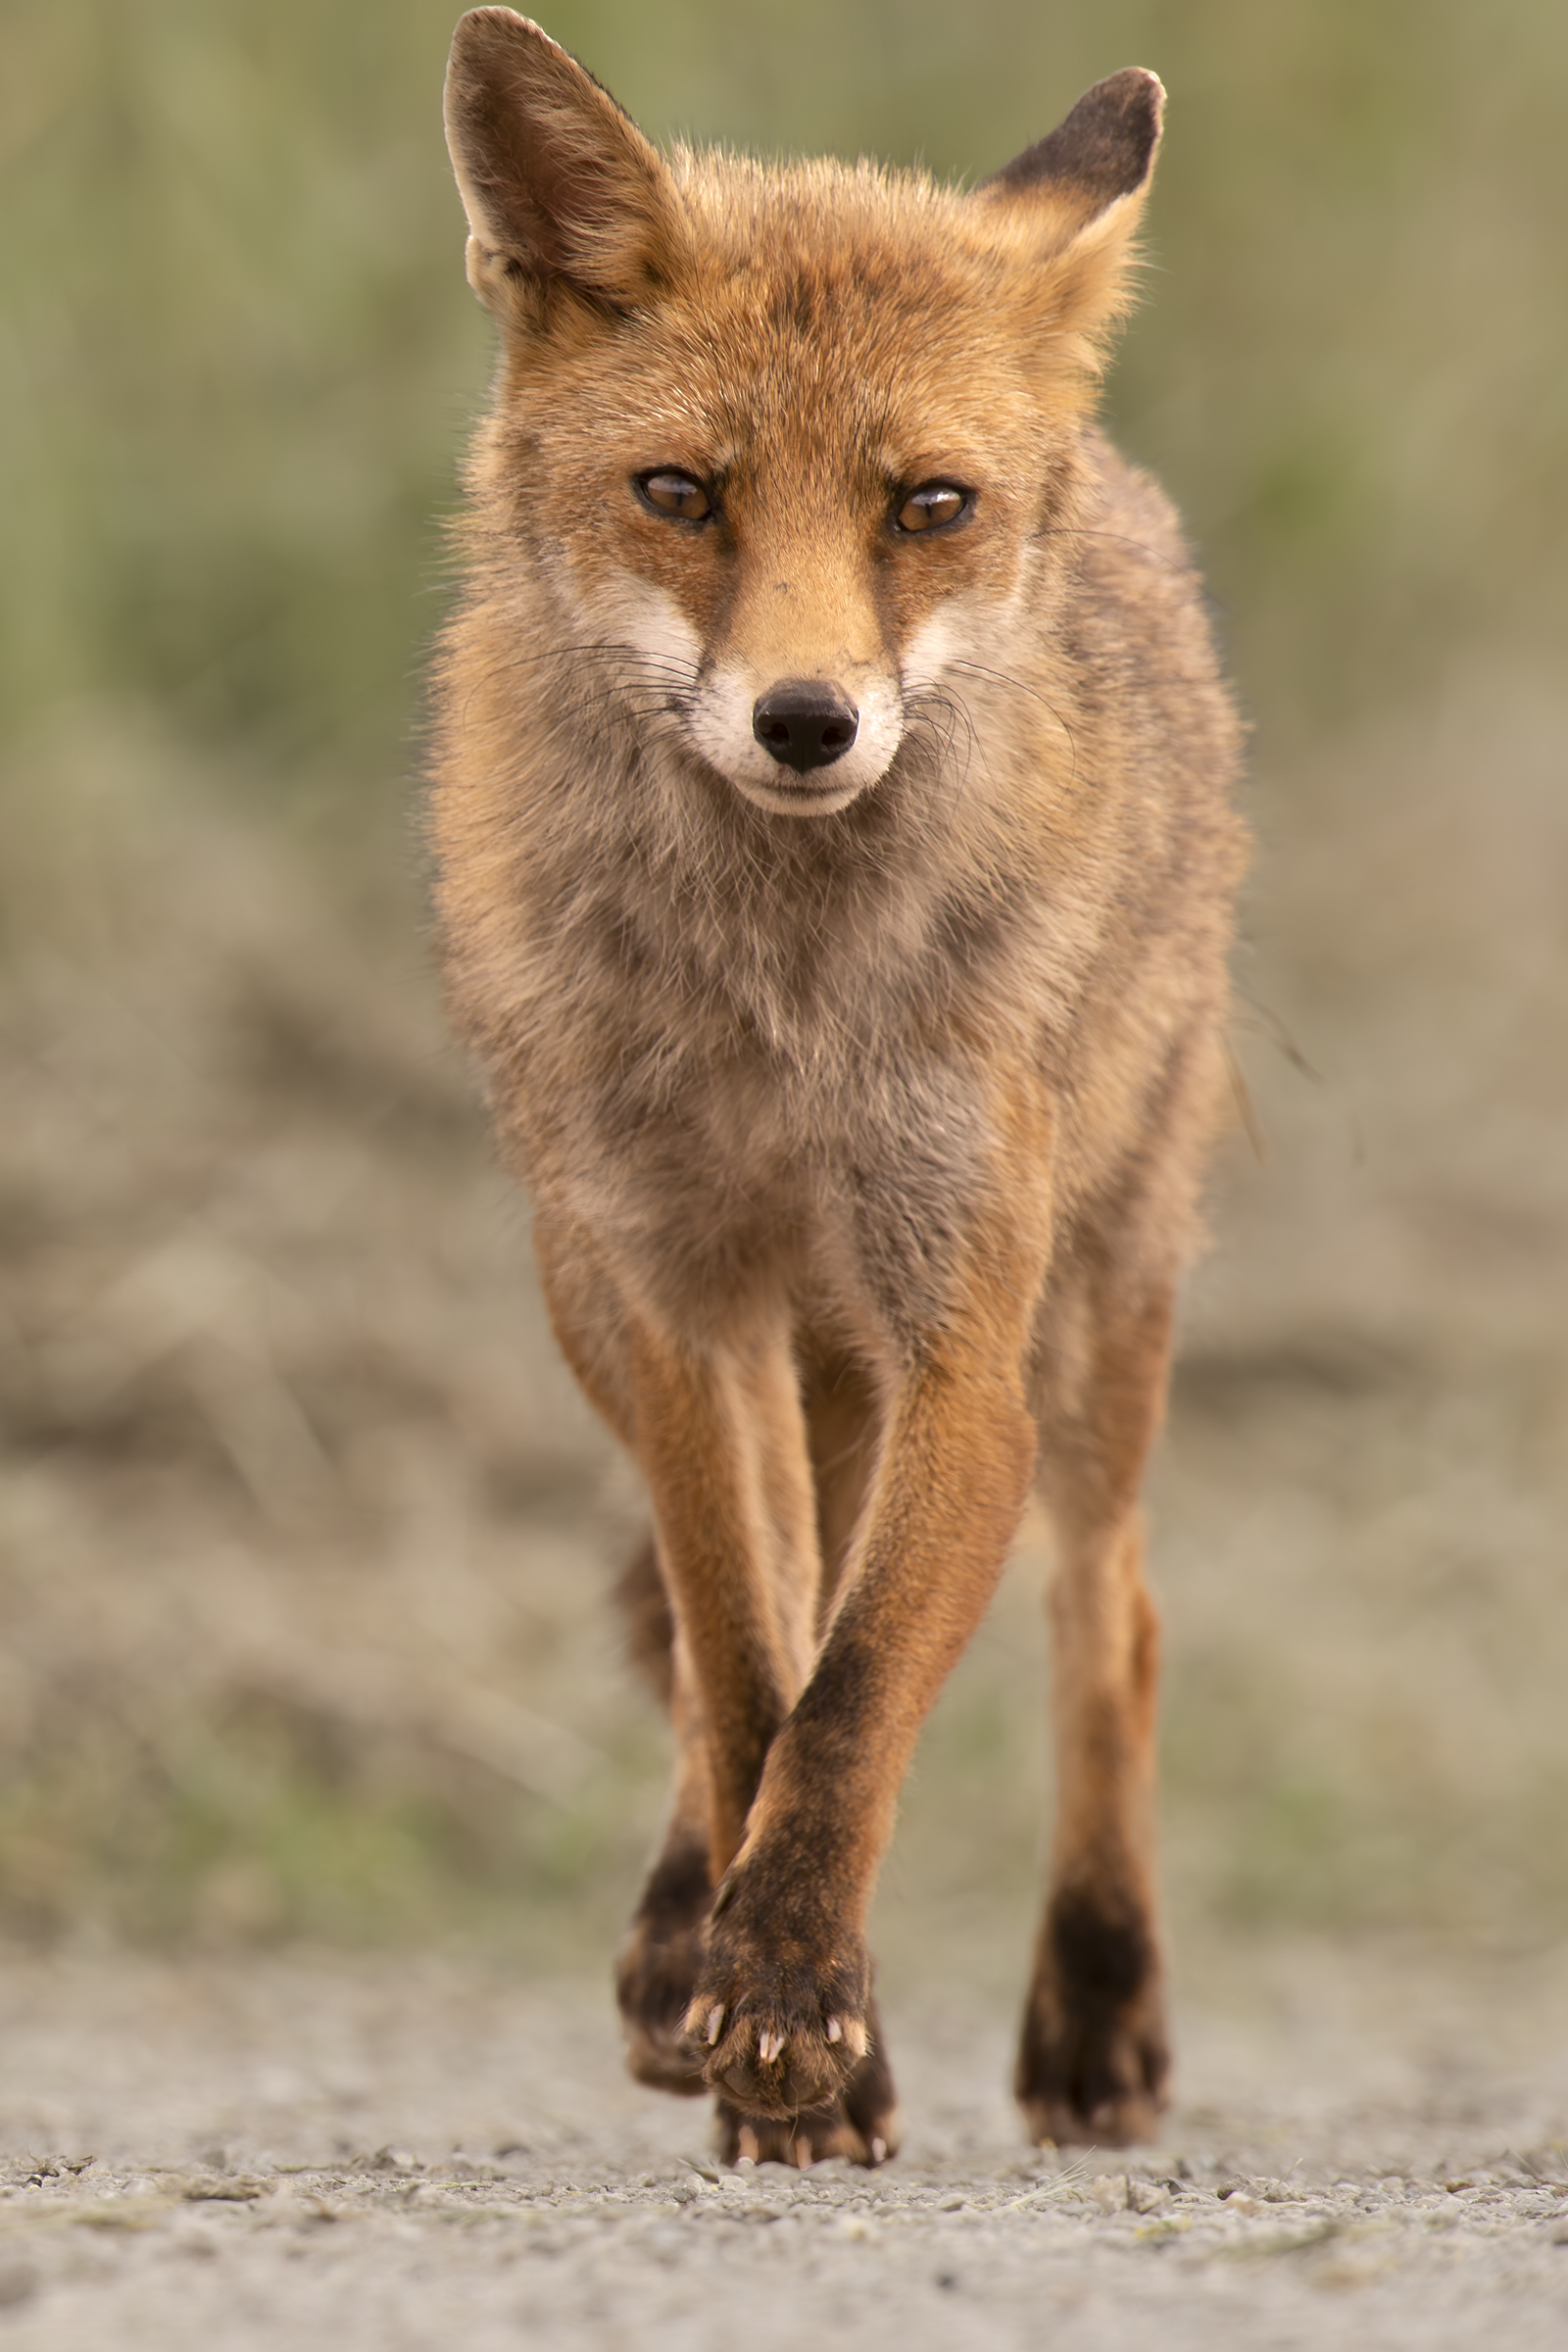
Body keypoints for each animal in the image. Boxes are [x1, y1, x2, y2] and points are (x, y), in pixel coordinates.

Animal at [428, 8, 1246, 2167]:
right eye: (680, 492)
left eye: (926, 506)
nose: (808, 723)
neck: (778, 1020)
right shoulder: (680, 1301)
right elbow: (751, 1663)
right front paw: (785, 2022)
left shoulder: (958, 1338)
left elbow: (858, 1689)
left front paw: (795, 2006)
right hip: (616, 1294)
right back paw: (671, 1939)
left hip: (1100, 1306)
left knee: (1115, 1622)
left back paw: (1097, 2009)